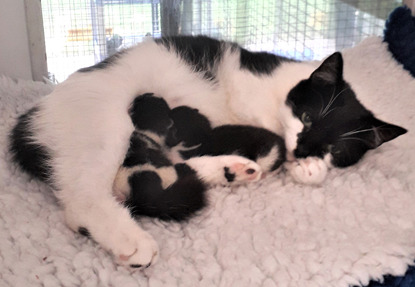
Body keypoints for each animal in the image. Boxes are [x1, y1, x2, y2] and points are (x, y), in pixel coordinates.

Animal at [8, 35, 408, 268]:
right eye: (308, 117)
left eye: (336, 148)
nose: (303, 147)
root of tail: (31, 118)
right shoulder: (251, 89)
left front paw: (309, 167)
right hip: (107, 122)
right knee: (85, 197)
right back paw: (129, 239)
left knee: (155, 172)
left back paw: (232, 170)